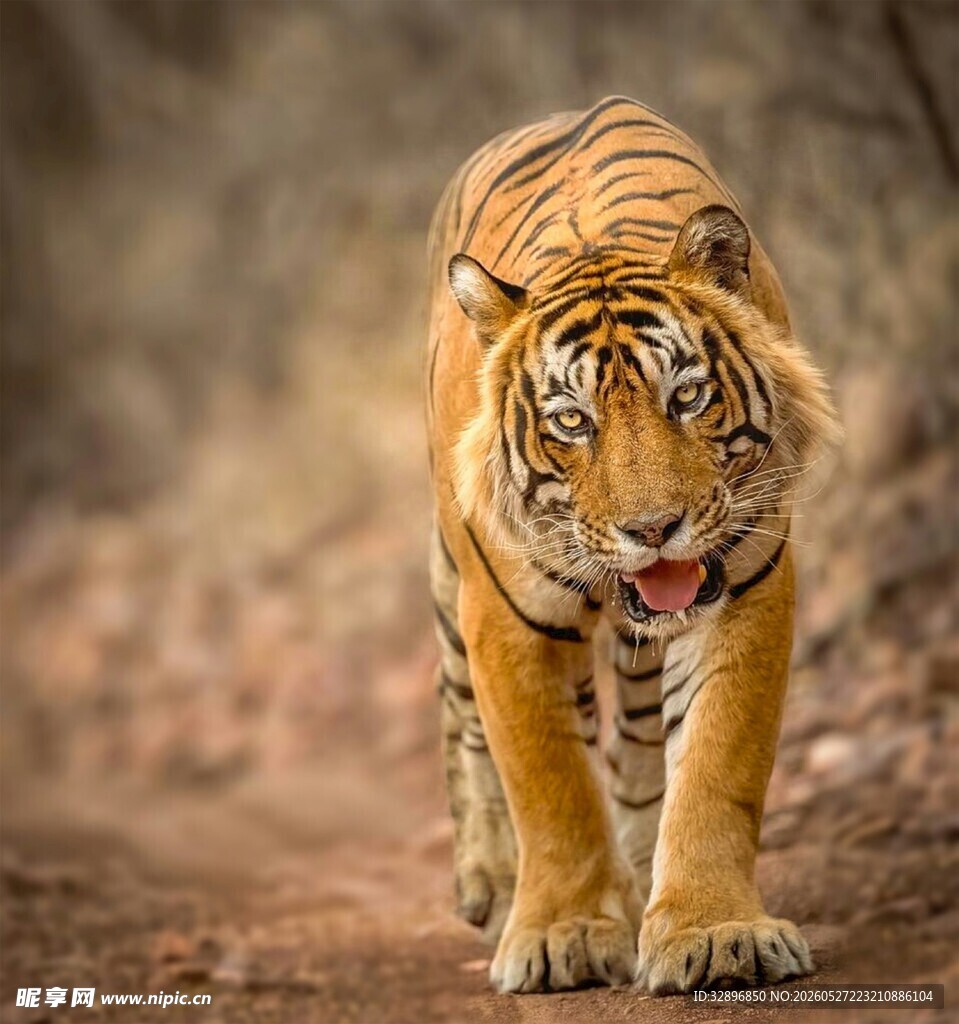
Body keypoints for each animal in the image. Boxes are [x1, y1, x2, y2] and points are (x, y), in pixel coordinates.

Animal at [425, 95, 839, 995]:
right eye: (570, 420)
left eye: (685, 397)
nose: (651, 531)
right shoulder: (505, 616)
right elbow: (548, 782)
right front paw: (564, 936)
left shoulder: (747, 584)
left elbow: (717, 763)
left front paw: (714, 931)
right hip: (451, 572)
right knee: (459, 710)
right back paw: (490, 880)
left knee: (642, 734)